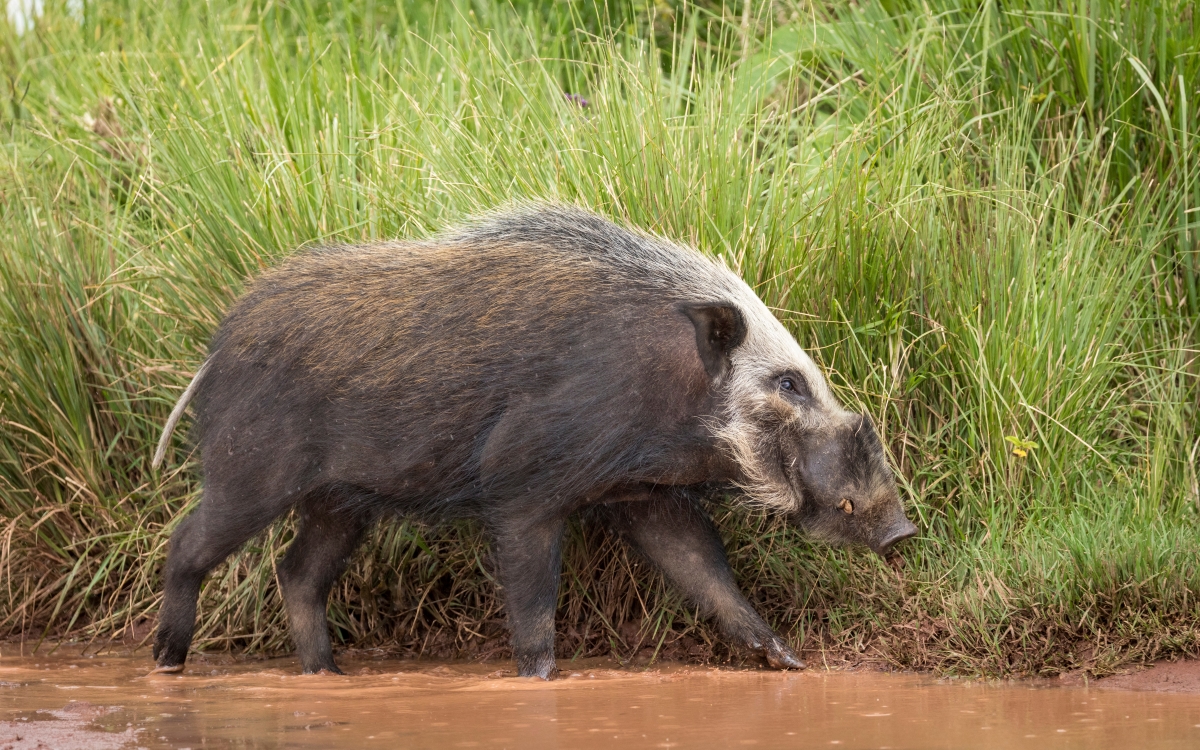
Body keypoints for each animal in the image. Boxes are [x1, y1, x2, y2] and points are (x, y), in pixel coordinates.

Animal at [152, 205, 916, 676]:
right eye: (789, 384)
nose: (903, 530)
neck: (666, 389)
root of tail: (215, 351)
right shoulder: (522, 487)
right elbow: (533, 605)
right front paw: (541, 678)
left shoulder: (645, 496)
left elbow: (709, 576)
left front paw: (790, 662)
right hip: (250, 470)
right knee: (187, 546)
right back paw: (166, 663)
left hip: (341, 501)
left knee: (298, 572)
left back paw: (328, 674)